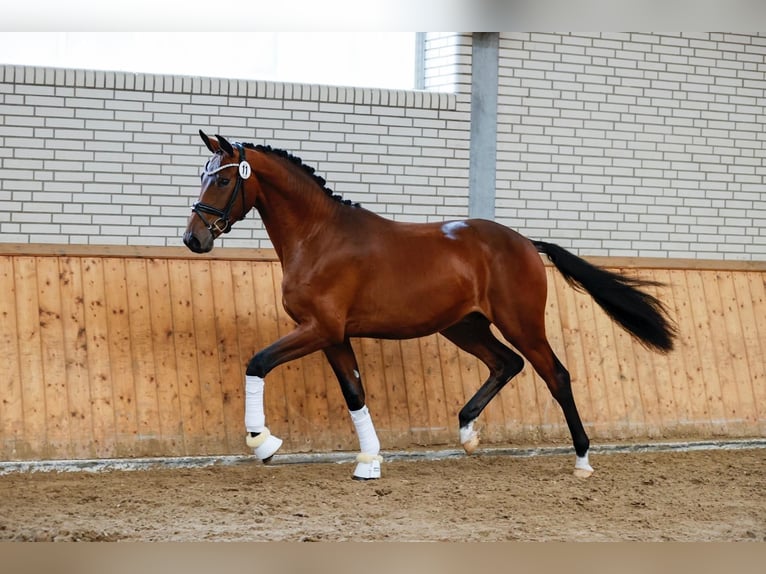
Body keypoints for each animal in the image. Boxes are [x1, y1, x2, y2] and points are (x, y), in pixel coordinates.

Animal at [183, 130, 676, 482]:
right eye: (201, 175)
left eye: (223, 179)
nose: (194, 238)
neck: (318, 237)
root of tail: (524, 242)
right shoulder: (333, 335)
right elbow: (355, 393)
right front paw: (369, 461)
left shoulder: (319, 329)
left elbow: (258, 362)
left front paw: (263, 442)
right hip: (464, 326)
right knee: (506, 363)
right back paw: (468, 434)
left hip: (520, 323)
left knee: (555, 375)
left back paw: (582, 460)